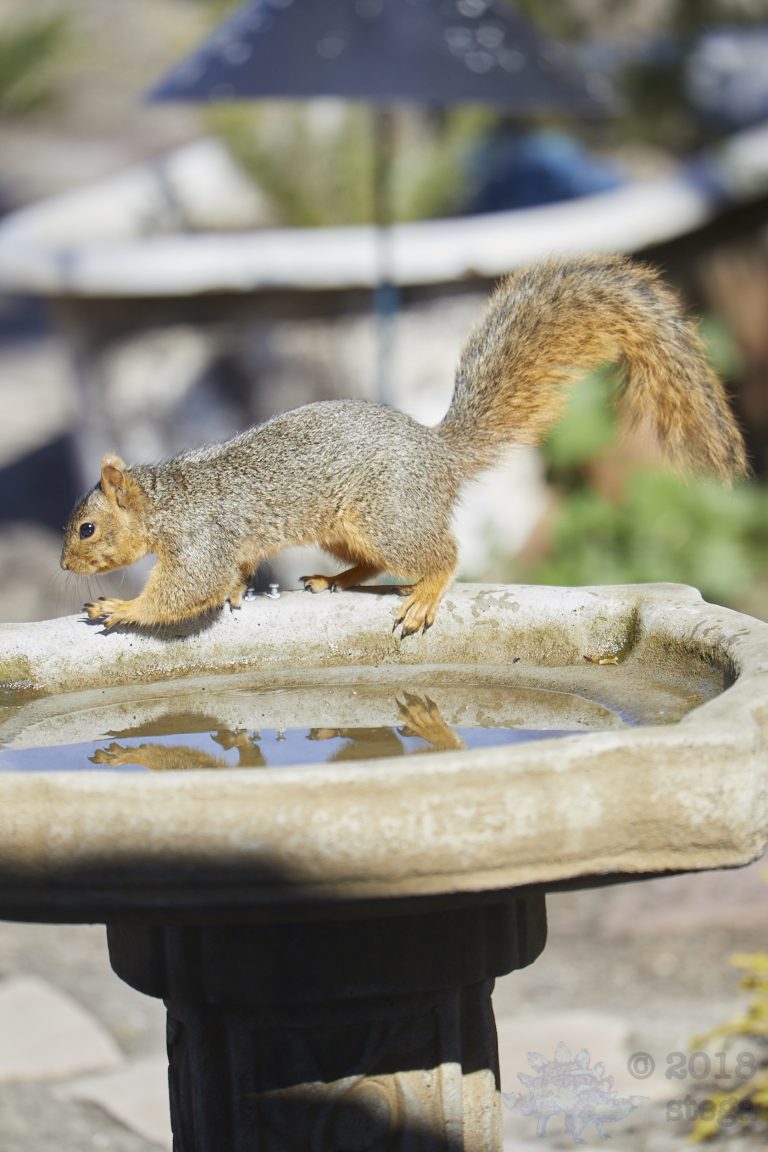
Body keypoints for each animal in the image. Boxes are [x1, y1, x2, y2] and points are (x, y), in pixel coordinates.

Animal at [61, 255, 747, 637]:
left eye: (87, 529)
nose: (65, 568)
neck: (168, 501)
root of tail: (440, 456)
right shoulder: (229, 541)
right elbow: (231, 575)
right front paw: (234, 593)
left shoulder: (202, 539)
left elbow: (184, 591)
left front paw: (124, 608)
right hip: (351, 526)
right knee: (369, 562)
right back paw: (332, 580)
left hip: (385, 514)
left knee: (442, 553)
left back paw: (422, 597)